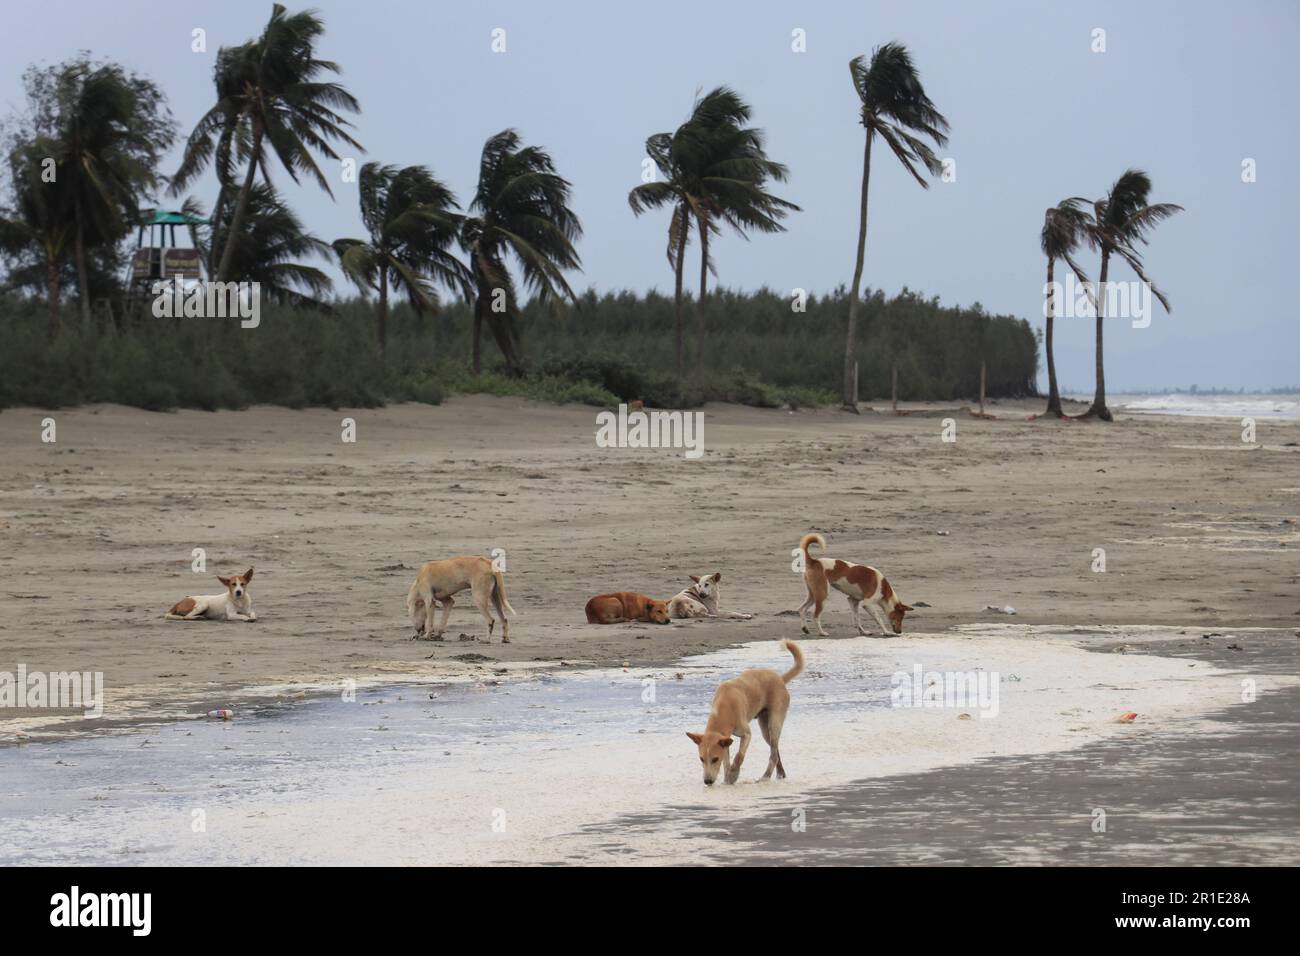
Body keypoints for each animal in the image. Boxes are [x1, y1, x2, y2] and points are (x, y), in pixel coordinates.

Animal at [691, 634, 800, 785]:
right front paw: (727, 780)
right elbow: (726, 763)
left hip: (774, 723)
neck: (724, 704)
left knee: (773, 754)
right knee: (776, 751)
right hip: (765, 729)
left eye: (715, 759)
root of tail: (780, 679)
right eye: (701, 759)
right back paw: (780, 774)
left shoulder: (746, 734)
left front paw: (733, 775)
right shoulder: (726, 741)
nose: (707, 781)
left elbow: (739, 755)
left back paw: (765, 776)